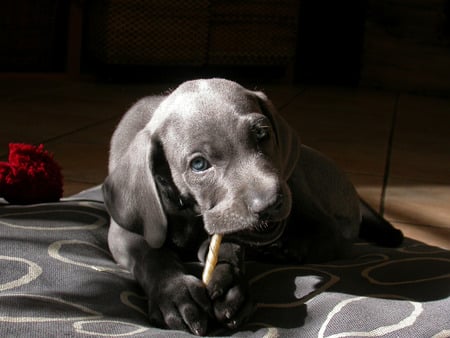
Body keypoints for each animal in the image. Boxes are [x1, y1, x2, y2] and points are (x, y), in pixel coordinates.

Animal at [103, 79, 402, 336]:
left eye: (262, 135)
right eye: (198, 164)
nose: (269, 202)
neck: (188, 211)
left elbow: (226, 247)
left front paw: (229, 283)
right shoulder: (124, 233)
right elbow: (151, 255)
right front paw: (175, 294)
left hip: (298, 180)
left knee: (330, 235)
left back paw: (285, 250)